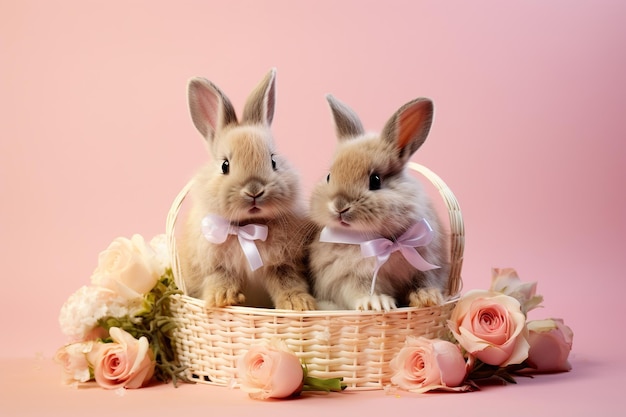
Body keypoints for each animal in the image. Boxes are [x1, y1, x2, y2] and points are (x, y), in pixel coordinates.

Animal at [177, 67, 314, 308]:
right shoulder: (215, 265)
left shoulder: (283, 263)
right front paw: (224, 299)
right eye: (225, 165)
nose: (254, 191)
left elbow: (289, 283)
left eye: (273, 161)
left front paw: (299, 305)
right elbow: (220, 278)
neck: (248, 227)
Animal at [304, 94, 446, 308]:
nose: (340, 207)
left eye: (376, 180)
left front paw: (427, 298)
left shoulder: (427, 265)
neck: (376, 239)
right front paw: (377, 303)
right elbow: (359, 289)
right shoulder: (347, 276)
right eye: (329, 177)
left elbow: (424, 281)